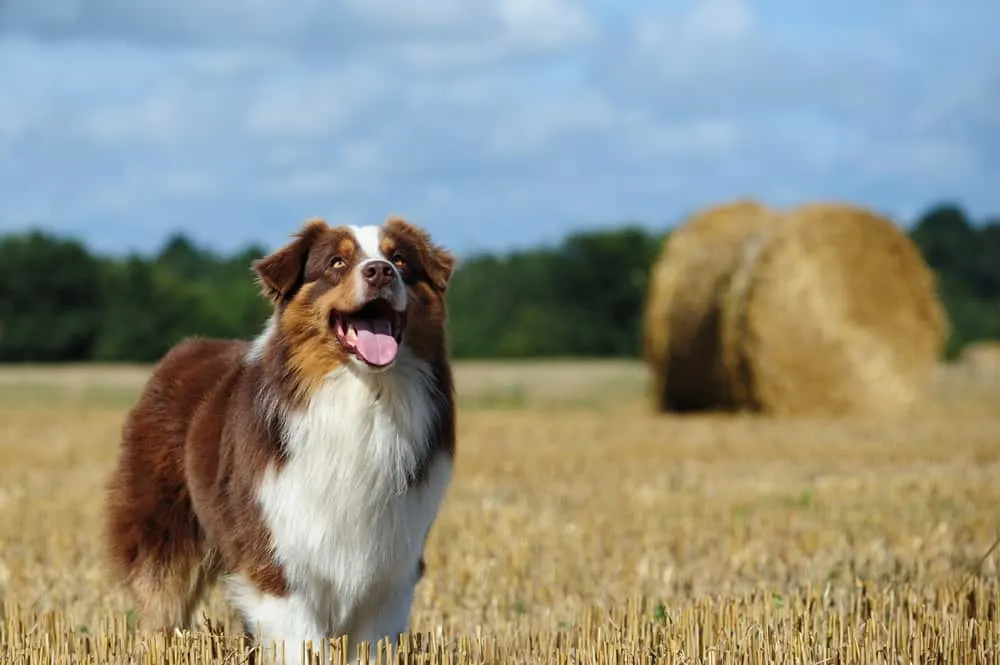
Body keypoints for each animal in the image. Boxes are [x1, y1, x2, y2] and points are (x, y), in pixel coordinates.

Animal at [103, 215, 456, 660]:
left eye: (400, 260)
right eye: (337, 262)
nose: (380, 271)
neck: (362, 397)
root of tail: (185, 349)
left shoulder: (390, 571)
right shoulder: (274, 561)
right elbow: (303, 645)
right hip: (164, 533)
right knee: (160, 610)